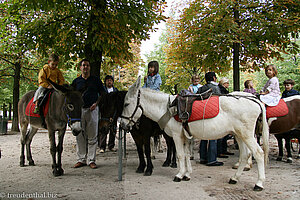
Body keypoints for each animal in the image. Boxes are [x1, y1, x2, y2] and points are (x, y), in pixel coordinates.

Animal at [119, 76, 270, 191]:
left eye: (126, 104)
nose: (122, 125)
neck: (167, 108)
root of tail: (254, 100)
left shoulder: (176, 136)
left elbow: (180, 155)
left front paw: (179, 175)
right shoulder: (184, 136)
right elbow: (186, 155)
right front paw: (187, 174)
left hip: (247, 135)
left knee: (258, 153)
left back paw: (259, 183)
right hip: (239, 135)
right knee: (245, 155)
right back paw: (235, 178)